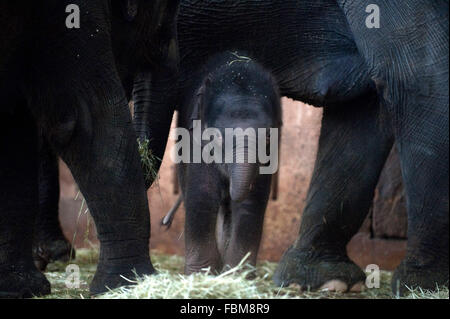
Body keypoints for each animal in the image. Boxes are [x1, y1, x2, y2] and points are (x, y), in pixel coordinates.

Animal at [172, 52, 282, 276]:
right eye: (217, 138)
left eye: (268, 137)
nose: (229, 185)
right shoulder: (196, 143)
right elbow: (203, 195)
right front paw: (200, 274)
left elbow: (252, 202)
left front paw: (238, 275)